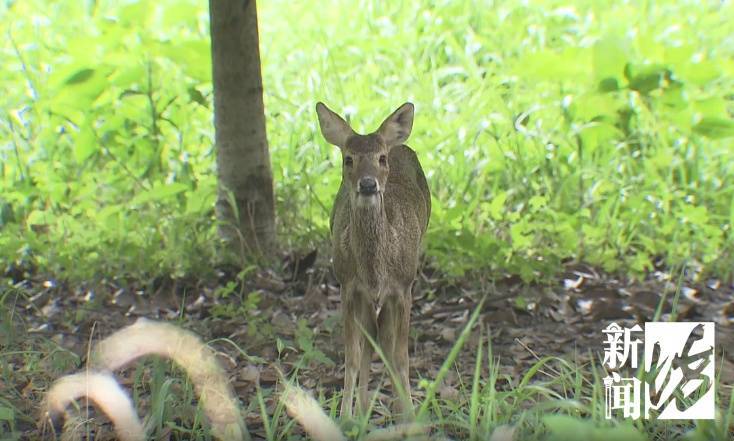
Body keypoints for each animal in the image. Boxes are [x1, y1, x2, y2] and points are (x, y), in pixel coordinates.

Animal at [314, 101, 432, 422]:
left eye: (381, 158)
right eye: (348, 159)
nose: (368, 185)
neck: (375, 269)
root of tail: (400, 144)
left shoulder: (403, 287)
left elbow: (400, 356)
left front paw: (410, 416)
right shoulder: (348, 286)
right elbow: (353, 356)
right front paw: (346, 417)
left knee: (385, 341)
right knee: (371, 339)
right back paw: (365, 409)